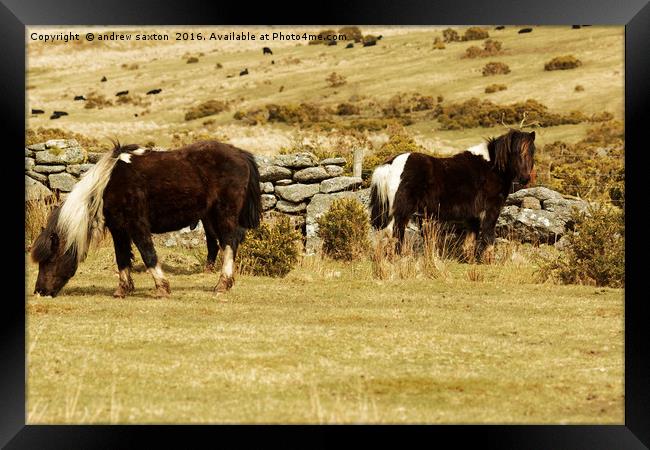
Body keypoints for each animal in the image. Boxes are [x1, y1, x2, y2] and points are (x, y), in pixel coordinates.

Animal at [31, 139, 260, 298]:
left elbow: (148, 253)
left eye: (48, 259)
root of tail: (240, 154)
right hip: (211, 217)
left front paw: (162, 288)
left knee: (229, 243)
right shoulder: (119, 229)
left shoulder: (137, 225)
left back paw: (222, 285)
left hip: (224, 214)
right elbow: (122, 258)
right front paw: (122, 290)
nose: (40, 291)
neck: (107, 184)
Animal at [368, 128, 536, 262]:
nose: (525, 178)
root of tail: (391, 163)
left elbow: (471, 238)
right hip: (401, 211)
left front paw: (470, 260)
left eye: (531, 152)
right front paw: (489, 261)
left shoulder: (473, 215)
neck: (492, 167)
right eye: (516, 152)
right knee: (394, 232)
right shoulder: (491, 210)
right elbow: (488, 236)